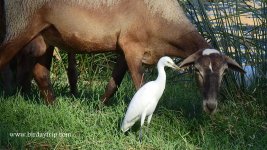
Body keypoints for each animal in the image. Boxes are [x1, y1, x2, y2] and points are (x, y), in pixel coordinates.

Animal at [0, 0, 246, 112]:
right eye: (197, 71)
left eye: (224, 74)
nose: (211, 106)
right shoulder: (132, 47)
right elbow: (140, 85)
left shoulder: (124, 50)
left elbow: (113, 83)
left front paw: (99, 108)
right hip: (19, 27)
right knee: (6, 60)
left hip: (45, 37)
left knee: (40, 72)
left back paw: (53, 106)